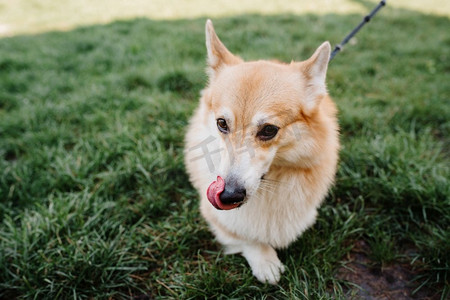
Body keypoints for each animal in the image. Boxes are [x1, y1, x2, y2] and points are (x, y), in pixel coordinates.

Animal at [183, 19, 338, 284]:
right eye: (221, 123)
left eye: (269, 130)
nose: (229, 195)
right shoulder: (214, 216)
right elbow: (246, 236)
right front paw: (265, 259)